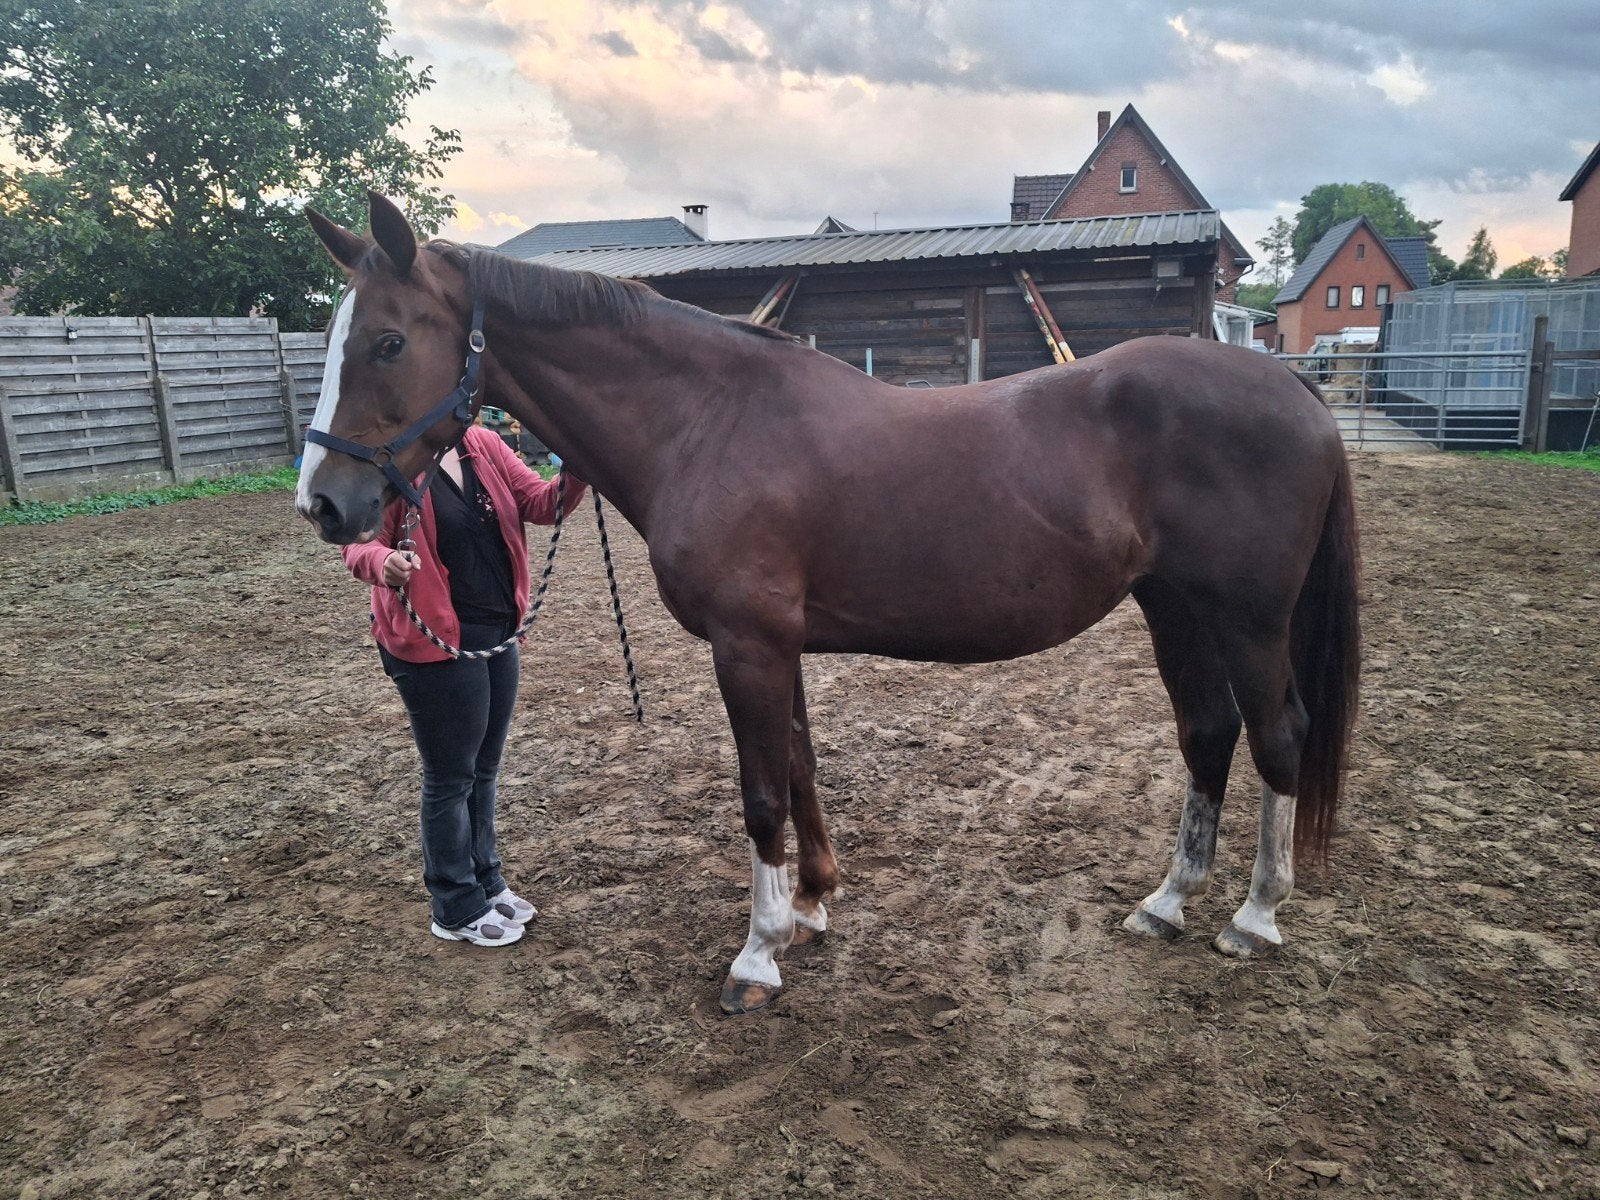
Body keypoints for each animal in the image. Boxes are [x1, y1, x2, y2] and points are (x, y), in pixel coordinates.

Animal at [296, 193, 1360, 1014]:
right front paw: (810, 910)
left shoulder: (748, 646)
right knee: (1208, 733)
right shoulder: (779, 647)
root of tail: (1297, 395)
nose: (324, 504)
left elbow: (763, 791)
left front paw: (757, 955)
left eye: (388, 342)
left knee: (1278, 735)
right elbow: (802, 769)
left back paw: (1255, 917)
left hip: (1247, 619)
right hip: (1174, 608)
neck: (709, 421)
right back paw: (1167, 903)